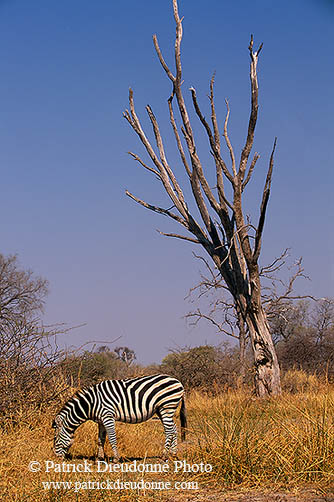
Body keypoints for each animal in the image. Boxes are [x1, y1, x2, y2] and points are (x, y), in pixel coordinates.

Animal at [53, 372, 187, 458]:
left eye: (55, 439)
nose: (56, 458)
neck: (91, 403)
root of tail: (178, 382)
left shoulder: (108, 416)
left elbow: (112, 438)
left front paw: (116, 458)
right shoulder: (101, 420)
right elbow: (100, 439)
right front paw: (100, 458)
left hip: (167, 406)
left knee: (169, 431)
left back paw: (164, 455)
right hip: (162, 410)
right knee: (174, 429)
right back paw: (173, 454)